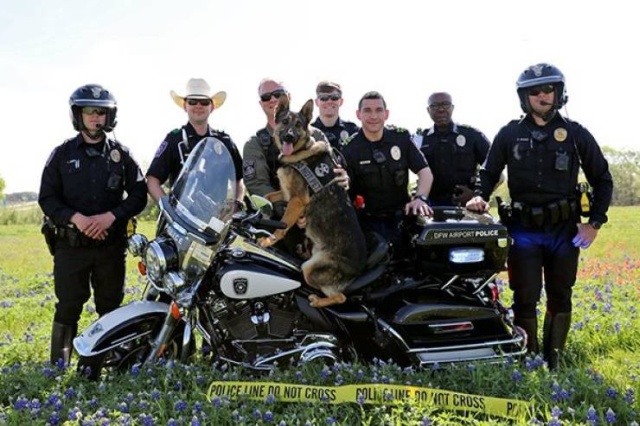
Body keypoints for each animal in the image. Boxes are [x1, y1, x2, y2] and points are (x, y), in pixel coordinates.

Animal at [262, 97, 370, 308]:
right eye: (284, 121)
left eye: (298, 125)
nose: (288, 137)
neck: (301, 152)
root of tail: (359, 271)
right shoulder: (286, 194)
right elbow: (268, 197)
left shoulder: (297, 200)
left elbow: (283, 225)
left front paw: (268, 240)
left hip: (309, 269)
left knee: (341, 297)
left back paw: (317, 301)